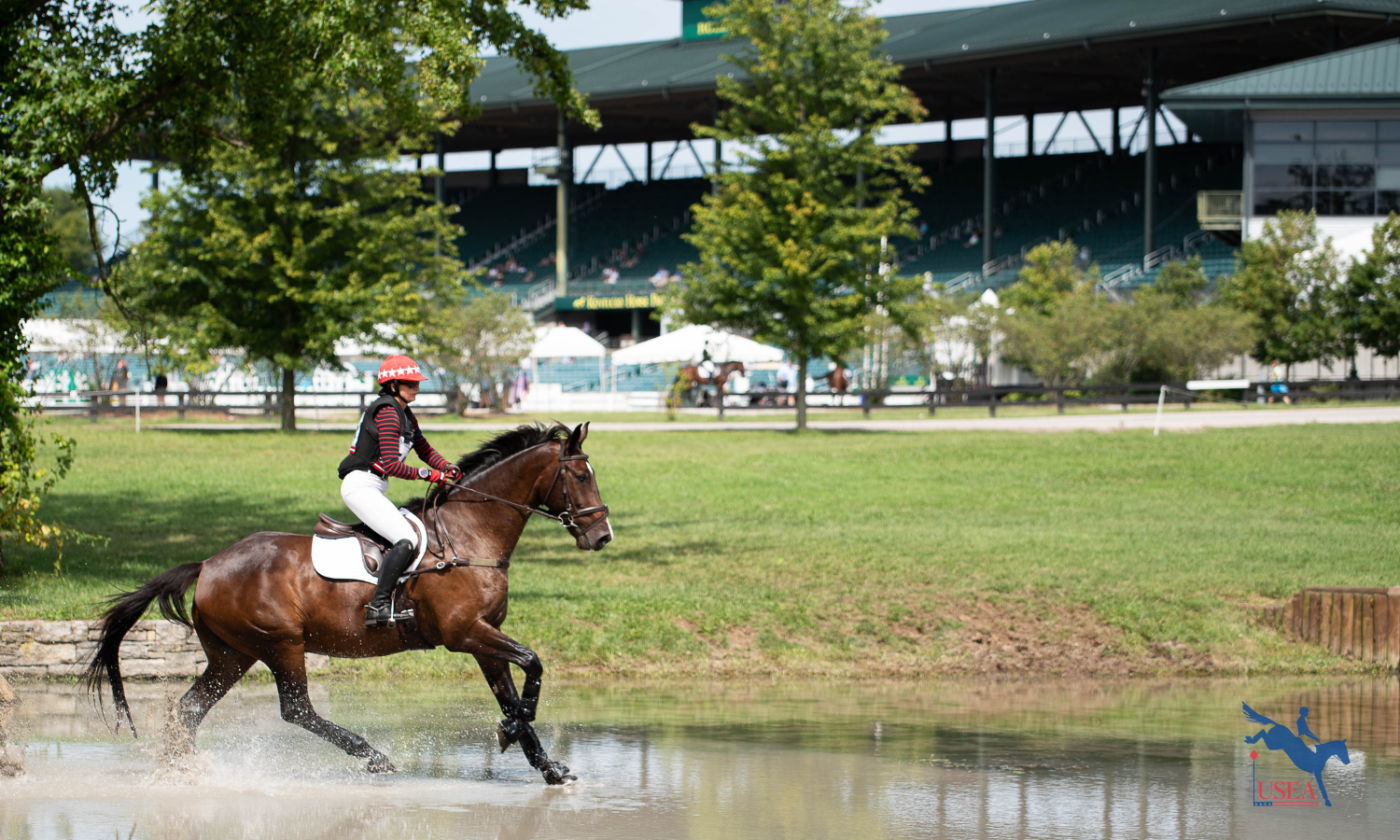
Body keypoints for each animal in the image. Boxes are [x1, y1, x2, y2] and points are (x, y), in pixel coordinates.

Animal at [84, 422, 610, 784]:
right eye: (579, 475)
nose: (601, 536)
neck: (469, 535)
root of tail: (209, 564)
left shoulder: (484, 638)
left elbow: (513, 693)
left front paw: (546, 765)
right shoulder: (464, 633)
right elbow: (533, 664)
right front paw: (511, 731)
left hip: (233, 655)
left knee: (189, 710)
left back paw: (183, 773)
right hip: (281, 644)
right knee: (297, 711)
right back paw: (373, 756)